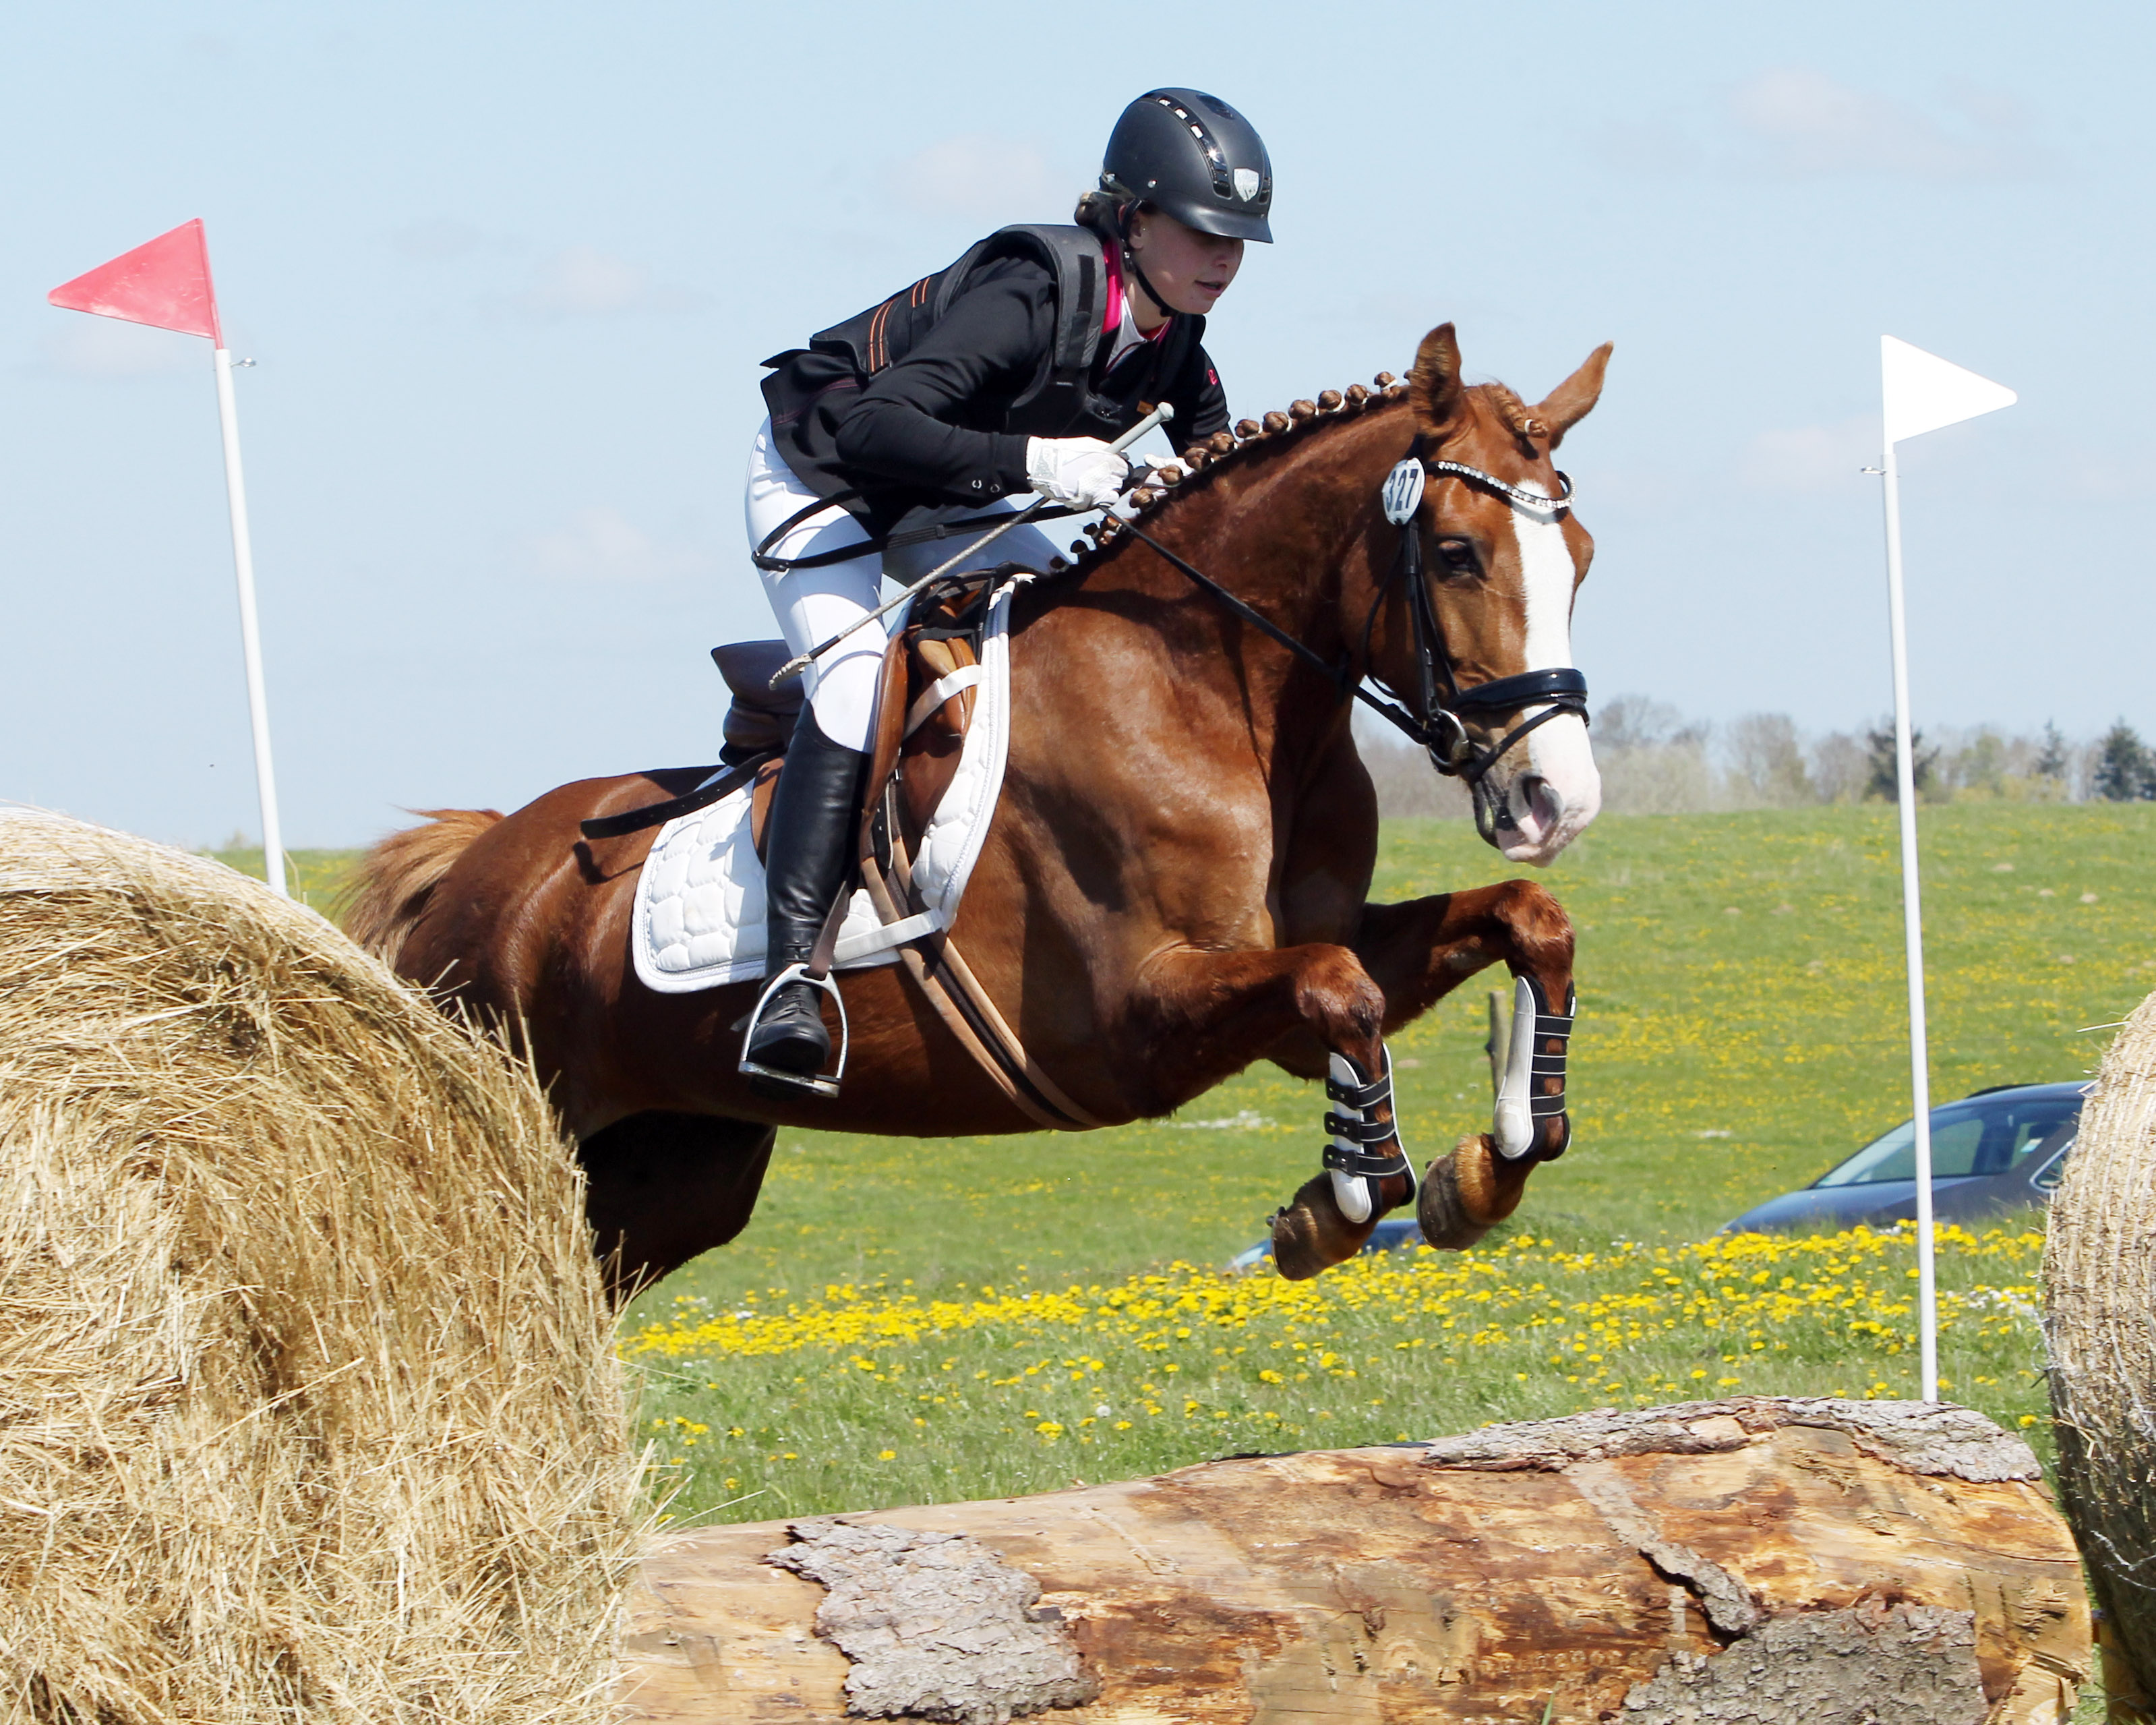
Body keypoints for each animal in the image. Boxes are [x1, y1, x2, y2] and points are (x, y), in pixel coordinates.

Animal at [345, 323, 1613, 1293]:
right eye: (1454, 552)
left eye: (1583, 555)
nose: (1555, 797)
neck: (1210, 690)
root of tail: (482, 864)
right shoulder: (1132, 1017)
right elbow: (1337, 990)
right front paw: (1332, 1207)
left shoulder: (1302, 967)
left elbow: (1521, 925)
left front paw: (1488, 1162)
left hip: (672, 1167)